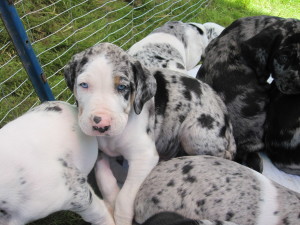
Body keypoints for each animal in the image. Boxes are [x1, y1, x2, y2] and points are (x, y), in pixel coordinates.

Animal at [63, 42, 237, 225]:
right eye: (84, 85)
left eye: (122, 87)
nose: (101, 123)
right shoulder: (100, 153)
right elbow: (105, 181)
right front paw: (111, 202)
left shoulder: (143, 157)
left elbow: (124, 198)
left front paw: (121, 218)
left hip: (193, 133)